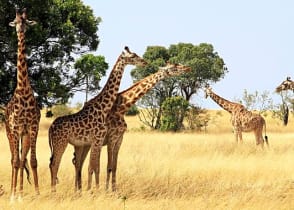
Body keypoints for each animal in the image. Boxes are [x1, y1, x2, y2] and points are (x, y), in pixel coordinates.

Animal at [49, 46, 148, 192]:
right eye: (133, 56)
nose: (145, 62)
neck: (103, 108)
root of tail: (50, 128)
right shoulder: (97, 139)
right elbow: (93, 167)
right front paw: (92, 191)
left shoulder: (98, 141)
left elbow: (96, 167)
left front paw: (95, 190)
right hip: (61, 143)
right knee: (55, 164)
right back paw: (54, 191)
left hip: (68, 144)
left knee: (60, 163)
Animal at [71, 61, 191, 191]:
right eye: (174, 66)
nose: (187, 68)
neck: (122, 107)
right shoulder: (112, 137)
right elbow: (108, 166)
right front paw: (107, 190)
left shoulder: (120, 139)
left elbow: (114, 166)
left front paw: (114, 190)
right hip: (83, 144)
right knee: (78, 163)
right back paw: (79, 190)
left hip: (87, 144)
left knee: (79, 163)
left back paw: (79, 189)